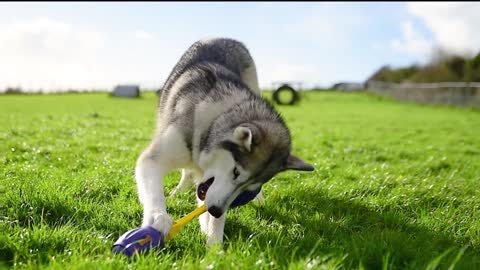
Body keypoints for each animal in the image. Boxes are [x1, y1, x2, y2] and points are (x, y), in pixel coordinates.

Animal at [135, 38, 316, 247]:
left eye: (247, 189)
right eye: (236, 172)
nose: (216, 210)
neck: (214, 121)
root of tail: (221, 38)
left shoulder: (213, 189)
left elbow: (209, 210)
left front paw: (214, 245)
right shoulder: (154, 159)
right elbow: (154, 191)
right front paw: (159, 219)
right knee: (185, 174)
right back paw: (177, 193)